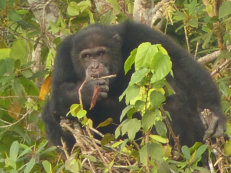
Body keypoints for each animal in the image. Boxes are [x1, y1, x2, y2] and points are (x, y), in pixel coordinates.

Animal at [41, 20, 226, 153]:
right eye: (86, 56)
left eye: (101, 53)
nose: (94, 66)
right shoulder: (63, 56)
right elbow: (58, 95)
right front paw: (88, 90)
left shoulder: (141, 34)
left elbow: (180, 65)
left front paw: (214, 116)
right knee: (50, 114)